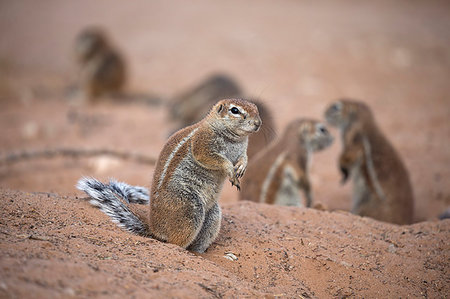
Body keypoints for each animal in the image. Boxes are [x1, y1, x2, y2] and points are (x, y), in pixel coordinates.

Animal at [76, 99, 260, 253]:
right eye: (235, 110)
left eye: (256, 107)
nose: (258, 123)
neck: (235, 140)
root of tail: (155, 230)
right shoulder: (203, 143)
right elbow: (212, 158)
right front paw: (230, 170)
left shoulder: (242, 149)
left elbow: (244, 157)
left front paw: (241, 167)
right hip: (190, 209)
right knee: (175, 242)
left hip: (212, 215)